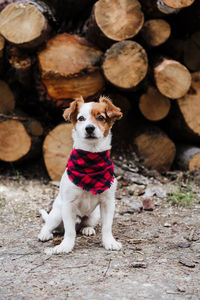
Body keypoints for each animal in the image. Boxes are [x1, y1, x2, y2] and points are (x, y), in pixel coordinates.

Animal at [37, 95, 122, 253]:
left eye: (101, 117)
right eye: (81, 118)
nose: (89, 128)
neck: (91, 161)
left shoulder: (108, 202)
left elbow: (107, 227)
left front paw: (109, 242)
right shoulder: (68, 205)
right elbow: (70, 232)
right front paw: (65, 246)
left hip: (94, 215)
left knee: (85, 224)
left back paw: (87, 229)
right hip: (57, 212)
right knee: (50, 225)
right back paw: (45, 234)